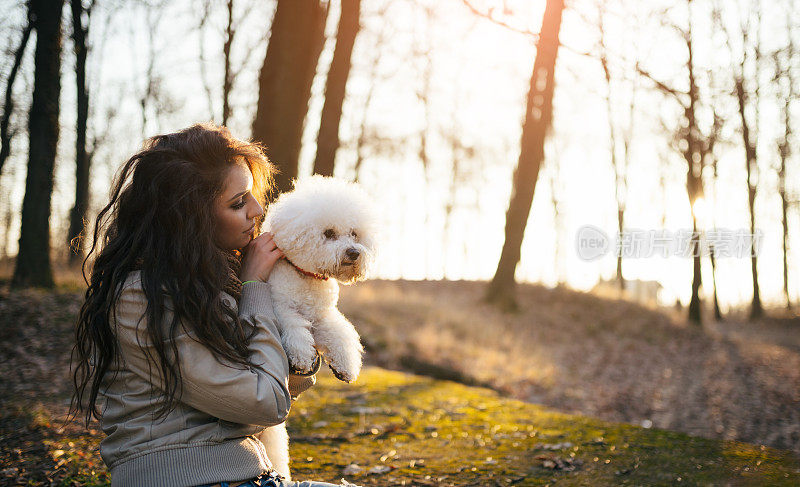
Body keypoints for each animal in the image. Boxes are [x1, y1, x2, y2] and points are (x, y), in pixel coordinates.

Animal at [258, 175, 380, 480]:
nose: (354, 253)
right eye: (329, 233)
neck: (307, 277)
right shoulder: (282, 308)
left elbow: (341, 333)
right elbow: (295, 331)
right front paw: (302, 358)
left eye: (354, 234)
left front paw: (346, 365)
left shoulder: (323, 315)